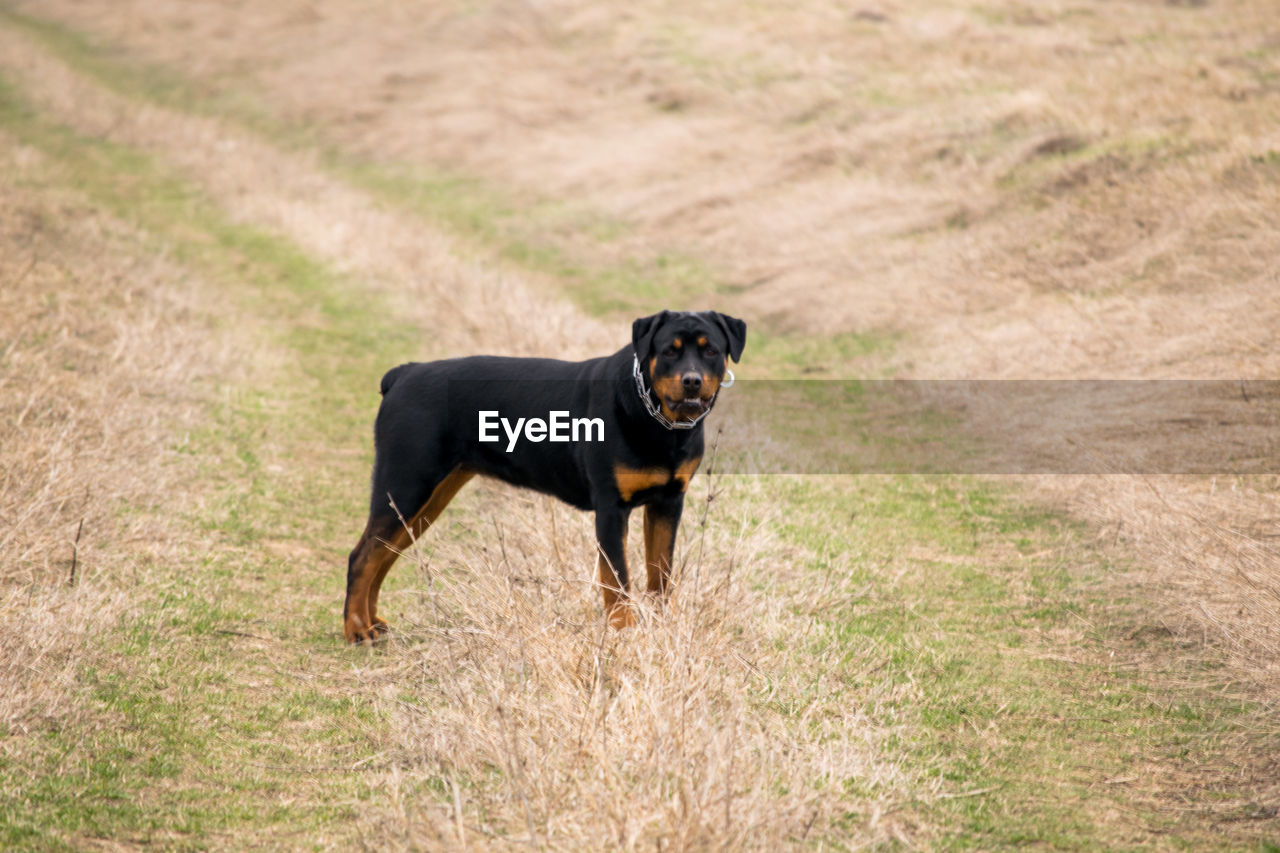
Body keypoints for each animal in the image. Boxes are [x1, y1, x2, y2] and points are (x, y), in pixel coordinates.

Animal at [345, 308, 747, 640]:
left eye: (711, 351)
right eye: (668, 351)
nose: (692, 381)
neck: (661, 424)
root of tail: (403, 374)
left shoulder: (668, 502)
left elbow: (660, 573)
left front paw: (661, 626)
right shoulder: (611, 508)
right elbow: (617, 579)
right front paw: (624, 632)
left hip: (425, 500)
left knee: (383, 555)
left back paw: (373, 623)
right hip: (405, 485)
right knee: (362, 556)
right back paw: (357, 629)